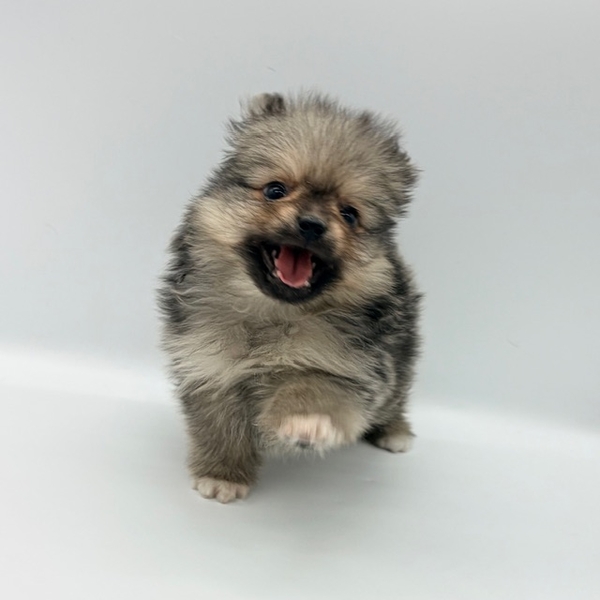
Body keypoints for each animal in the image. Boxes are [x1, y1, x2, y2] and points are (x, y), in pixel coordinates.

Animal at [158, 92, 421, 503]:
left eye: (349, 214)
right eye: (275, 190)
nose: (312, 225)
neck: (271, 314)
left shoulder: (347, 369)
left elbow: (313, 391)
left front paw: (307, 422)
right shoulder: (208, 368)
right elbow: (219, 427)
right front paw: (223, 474)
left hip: (400, 356)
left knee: (395, 395)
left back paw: (394, 431)